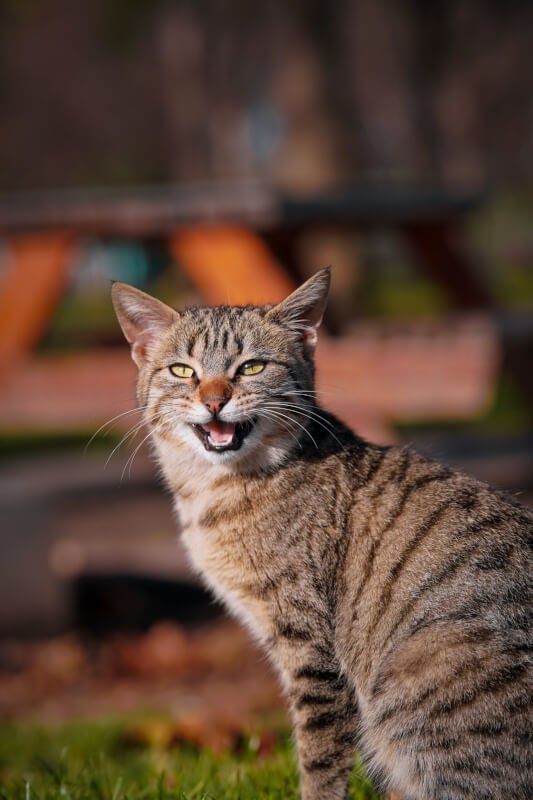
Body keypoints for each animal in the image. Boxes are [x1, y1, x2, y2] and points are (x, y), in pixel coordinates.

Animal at [110, 270, 528, 800]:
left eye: (251, 367)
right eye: (183, 371)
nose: (214, 400)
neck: (216, 488)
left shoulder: (310, 646)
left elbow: (319, 758)